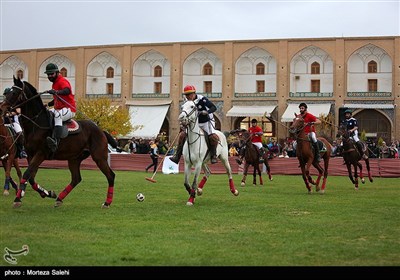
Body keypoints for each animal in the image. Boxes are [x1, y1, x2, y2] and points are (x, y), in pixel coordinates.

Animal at [0, 76, 117, 208]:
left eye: (14, 92)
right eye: (8, 92)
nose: (2, 107)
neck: (36, 123)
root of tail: (101, 130)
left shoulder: (41, 153)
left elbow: (27, 174)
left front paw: (18, 199)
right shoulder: (30, 155)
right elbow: (31, 177)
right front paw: (47, 193)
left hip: (99, 157)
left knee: (110, 175)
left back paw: (107, 202)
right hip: (74, 158)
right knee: (76, 178)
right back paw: (59, 198)